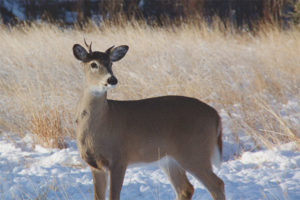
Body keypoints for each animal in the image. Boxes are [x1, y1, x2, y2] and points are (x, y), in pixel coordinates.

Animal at [72, 40, 223, 200]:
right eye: (93, 64)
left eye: (111, 63)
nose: (112, 79)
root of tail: (215, 115)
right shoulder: (95, 166)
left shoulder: (119, 159)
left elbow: (114, 196)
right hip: (170, 159)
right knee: (186, 188)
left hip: (195, 151)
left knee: (217, 184)